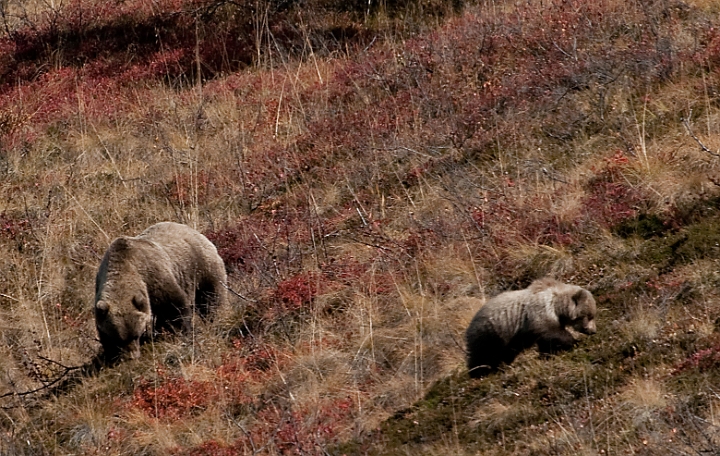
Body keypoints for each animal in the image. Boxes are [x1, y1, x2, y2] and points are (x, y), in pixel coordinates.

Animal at [94, 222, 227, 360]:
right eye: (119, 338)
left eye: (136, 334)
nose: (132, 356)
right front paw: (110, 353)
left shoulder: (155, 279)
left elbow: (175, 308)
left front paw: (183, 333)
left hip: (202, 269)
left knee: (210, 299)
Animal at [465, 277, 596, 378]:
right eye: (589, 316)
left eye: (592, 315)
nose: (593, 331)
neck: (557, 307)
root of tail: (471, 321)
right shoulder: (540, 314)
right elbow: (554, 333)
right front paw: (574, 342)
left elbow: (547, 342)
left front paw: (549, 355)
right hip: (490, 332)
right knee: (482, 355)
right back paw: (478, 373)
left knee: (505, 354)